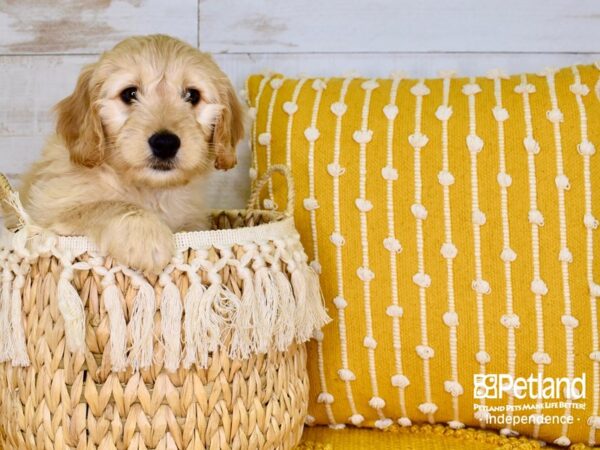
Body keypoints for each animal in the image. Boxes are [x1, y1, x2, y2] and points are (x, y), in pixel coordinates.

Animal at [18, 33, 244, 272]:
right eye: (129, 94)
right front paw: (146, 236)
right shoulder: (47, 210)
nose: (165, 143)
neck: (149, 190)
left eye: (192, 95)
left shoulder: (192, 220)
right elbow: (103, 205)